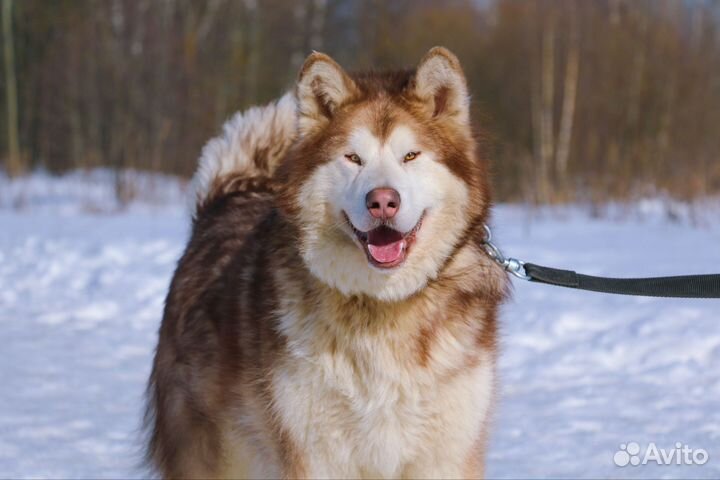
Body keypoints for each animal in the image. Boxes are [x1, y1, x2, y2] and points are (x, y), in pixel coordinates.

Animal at [145, 46, 506, 480]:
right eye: (352, 158)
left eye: (411, 155)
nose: (383, 201)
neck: (382, 305)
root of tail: (224, 201)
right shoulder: (315, 452)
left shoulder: (445, 454)